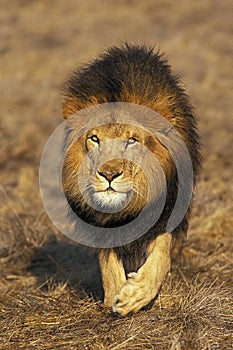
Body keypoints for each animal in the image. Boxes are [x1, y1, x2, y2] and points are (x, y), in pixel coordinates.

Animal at [61, 44, 201, 318]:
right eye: (94, 139)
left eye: (132, 140)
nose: (108, 174)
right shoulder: (98, 222)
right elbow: (108, 262)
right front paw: (114, 296)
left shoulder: (166, 210)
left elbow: (160, 258)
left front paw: (134, 296)